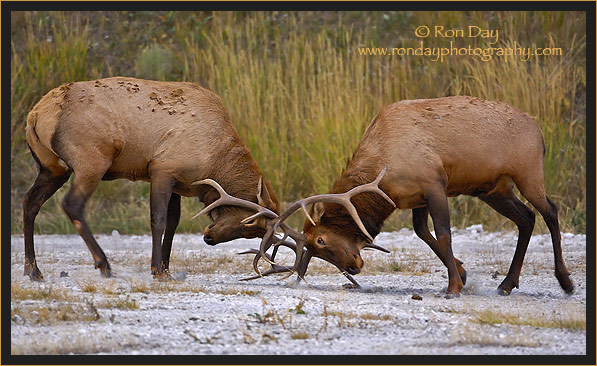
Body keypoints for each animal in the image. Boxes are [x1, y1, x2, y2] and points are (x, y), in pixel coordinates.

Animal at [23, 77, 280, 282]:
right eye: (249, 222)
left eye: (252, 233)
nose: (209, 237)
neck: (213, 160)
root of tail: (36, 115)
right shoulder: (162, 170)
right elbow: (158, 220)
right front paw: (157, 270)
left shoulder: (178, 183)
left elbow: (173, 223)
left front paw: (166, 268)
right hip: (91, 161)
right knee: (72, 204)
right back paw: (104, 264)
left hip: (52, 168)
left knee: (30, 202)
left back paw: (33, 270)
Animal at [241, 95, 572, 298]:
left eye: (320, 240)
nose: (353, 267)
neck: (383, 169)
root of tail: (540, 132)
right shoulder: (414, 199)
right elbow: (424, 234)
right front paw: (462, 272)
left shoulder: (434, 184)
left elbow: (443, 233)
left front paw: (453, 286)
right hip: (494, 189)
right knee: (526, 218)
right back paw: (507, 283)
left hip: (528, 172)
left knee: (550, 211)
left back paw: (565, 281)